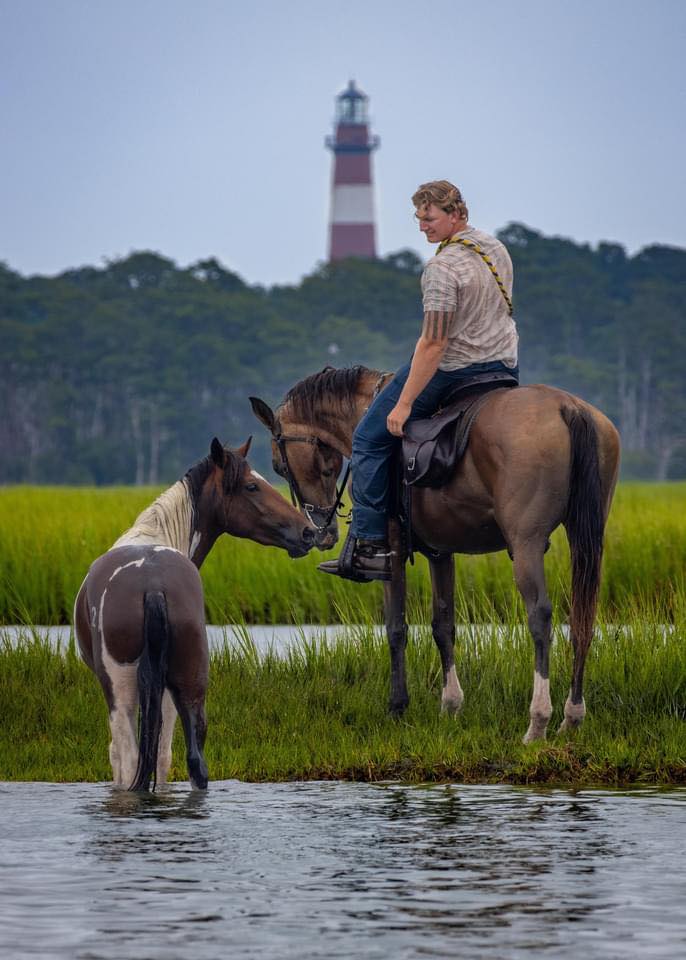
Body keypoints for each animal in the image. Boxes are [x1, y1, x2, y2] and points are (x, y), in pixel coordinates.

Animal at [74, 437, 315, 792]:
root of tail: (153, 585)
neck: (154, 534)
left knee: (131, 760)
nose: (307, 532)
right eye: (252, 485)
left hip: (122, 691)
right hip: (188, 687)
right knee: (187, 761)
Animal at [250, 366, 621, 742]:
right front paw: (450, 705)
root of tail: (568, 407)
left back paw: (538, 721)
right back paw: (572, 716)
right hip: (585, 538)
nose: (321, 532)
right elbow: (443, 626)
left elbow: (396, 628)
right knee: (583, 617)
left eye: (279, 466)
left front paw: (397, 706)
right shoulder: (441, 553)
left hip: (526, 543)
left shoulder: (394, 551)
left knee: (540, 617)